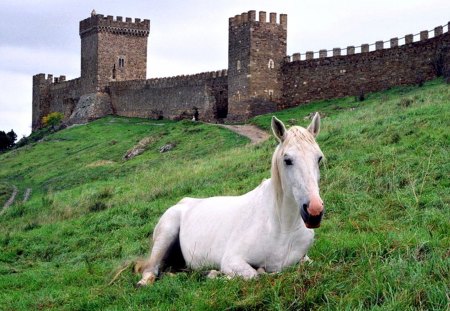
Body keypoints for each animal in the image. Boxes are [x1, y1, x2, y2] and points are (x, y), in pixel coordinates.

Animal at [137, 114, 324, 288]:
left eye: (319, 158)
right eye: (287, 160)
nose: (314, 211)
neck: (283, 228)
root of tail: (183, 202)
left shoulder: (305, 258)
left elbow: (306, 264)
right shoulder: (232, 260)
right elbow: (254, 275)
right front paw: (216, 275)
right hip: (166, 234)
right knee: (151, 271)